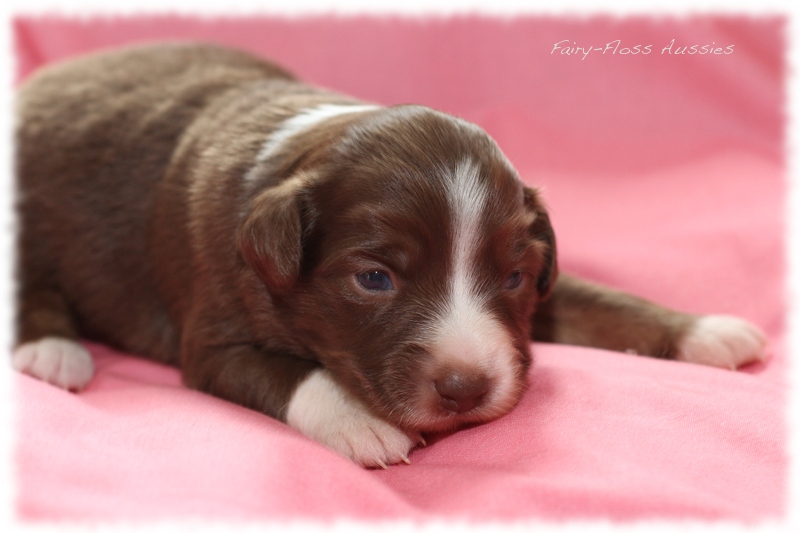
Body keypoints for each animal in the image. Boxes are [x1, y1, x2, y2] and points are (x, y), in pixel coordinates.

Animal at [10, 42, 764, 466]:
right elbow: (296, 375)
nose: (466, 388)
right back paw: (54, 349)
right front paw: (362, 422)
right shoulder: (215, 335)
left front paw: (704, 329)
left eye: (515, 276)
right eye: (374, 278)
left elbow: (599, 300)